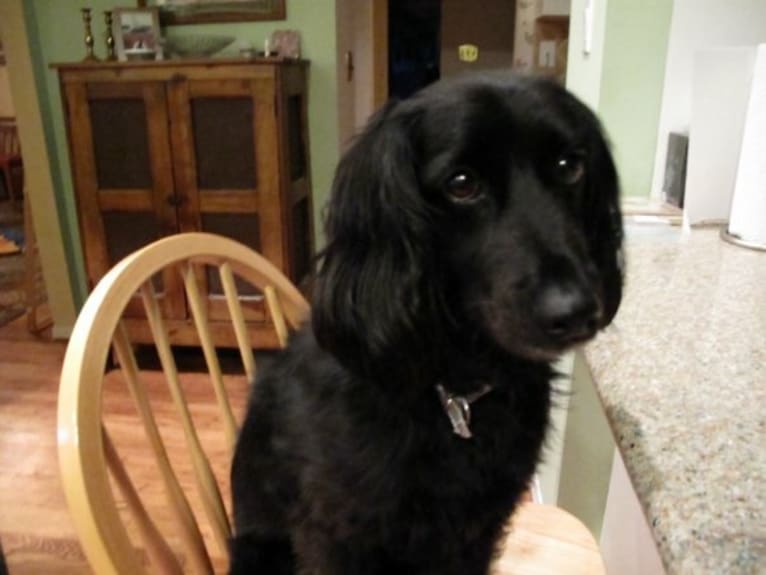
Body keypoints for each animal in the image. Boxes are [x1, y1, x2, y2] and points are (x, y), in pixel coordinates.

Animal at [232, 73, 624, 575]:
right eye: (462, 184)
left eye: (569, 166)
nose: (574, 311)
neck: (452, 392)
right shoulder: (340, 533)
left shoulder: (478, 530)